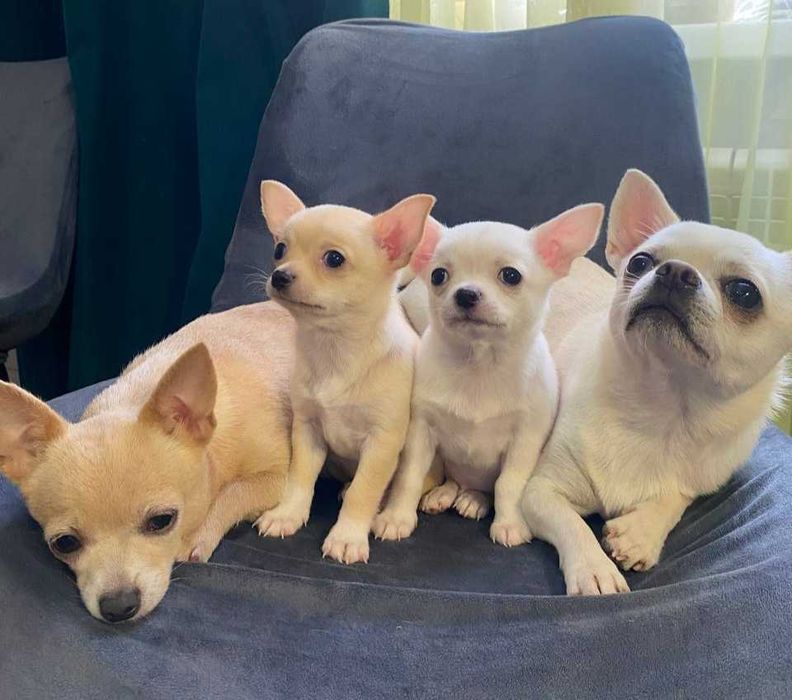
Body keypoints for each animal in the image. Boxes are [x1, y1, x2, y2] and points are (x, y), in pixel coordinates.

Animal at [0, 302, 293, 621]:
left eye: (162, 521)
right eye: (64, 543)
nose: (118, 607)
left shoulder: (280, 477)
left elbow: (235, 491)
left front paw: (200, 533)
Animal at [255, 181, 436, 564]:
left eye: (334, 259)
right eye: (279, 249)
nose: (279, 275)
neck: (335, 349)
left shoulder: (381, 443)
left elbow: (364, 492)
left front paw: (348, 536)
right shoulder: (307, 431)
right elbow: (300, 478)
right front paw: (287, 514)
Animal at [376, 204, 604, 546]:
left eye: (511, 276)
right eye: (438, 275)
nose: (466, 294)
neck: (479, 365)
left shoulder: (524, 441)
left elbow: (508, 484)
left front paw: (510, 524)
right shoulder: (421, 431)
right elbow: (409, 476)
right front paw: (396, 518)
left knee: (483, 488)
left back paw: (474, 500)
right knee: (454, 479)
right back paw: (445, 494)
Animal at [520, 169, 792, 595]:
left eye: (744, 292)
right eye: (640, 262)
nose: (676, 271)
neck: (662, 406)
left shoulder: (697, 480)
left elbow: (675, 496)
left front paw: (640, 533)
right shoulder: (539, 492)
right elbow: (572, 524)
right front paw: (594, 569)